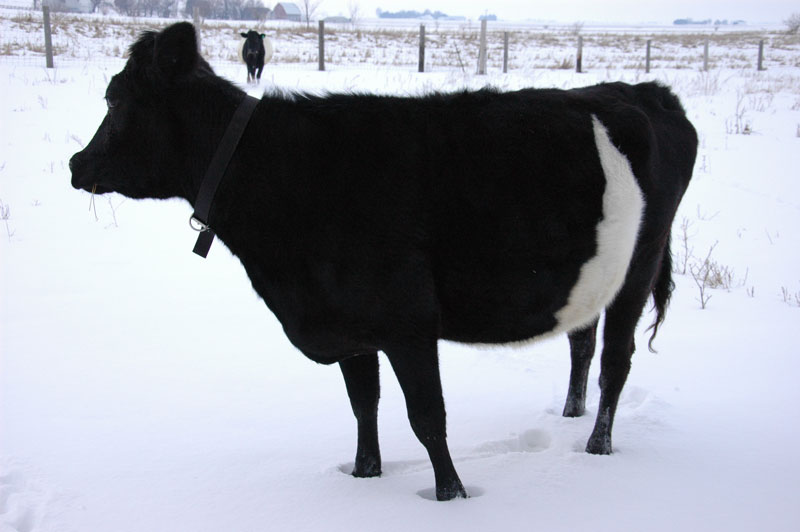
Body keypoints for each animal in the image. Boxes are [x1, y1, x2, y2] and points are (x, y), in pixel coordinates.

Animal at [69, 23, 697, 501]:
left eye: (115, 102)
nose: (77, 164)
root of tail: (648, 90)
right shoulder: (349, 323)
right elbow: (363, 406)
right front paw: (364, 476)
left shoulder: (408, 323)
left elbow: (428, 418)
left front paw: (452, 496)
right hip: (594, 276)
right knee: (581, 342)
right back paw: (570, 414)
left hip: (638, 267)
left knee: (616, 359)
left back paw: (597, 446)